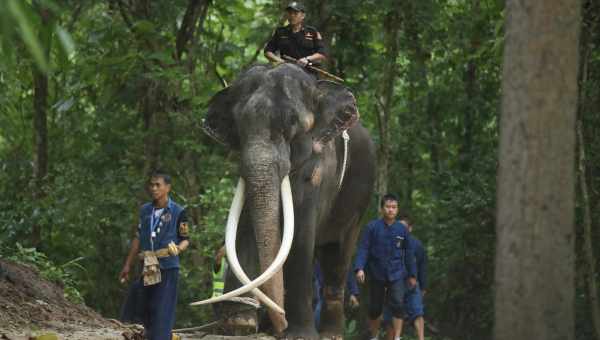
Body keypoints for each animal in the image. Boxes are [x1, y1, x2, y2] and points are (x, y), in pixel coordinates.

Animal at [195, 63, 376, 340]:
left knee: (338, 256)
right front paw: (240, 324)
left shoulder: (320, 168)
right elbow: (244, 228)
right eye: (237, 125)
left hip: (360, 200)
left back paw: (329, 334)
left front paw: (299, 334)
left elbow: (301, 233)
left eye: (291, 123)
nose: (279, 324)